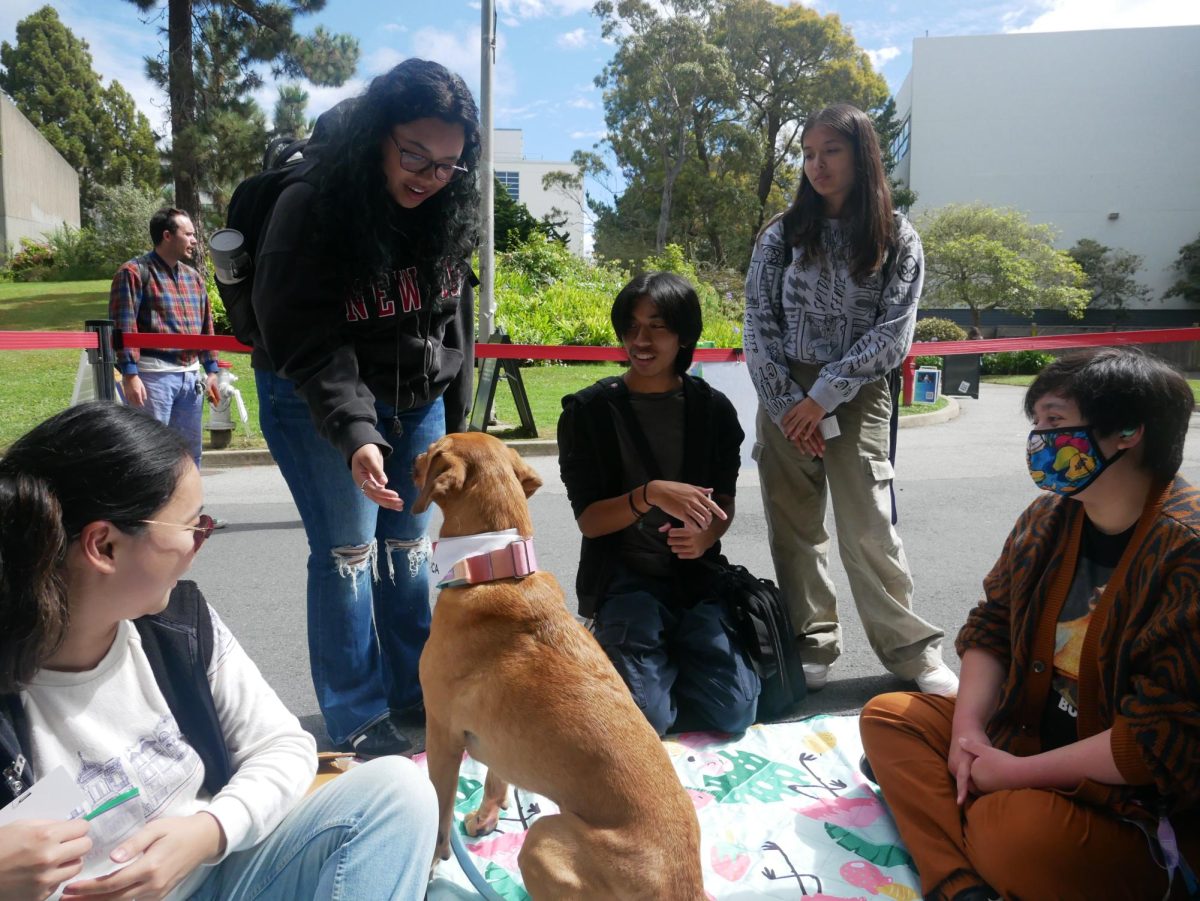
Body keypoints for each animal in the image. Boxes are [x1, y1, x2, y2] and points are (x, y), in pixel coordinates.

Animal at [415, 434, 705, 897]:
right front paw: (487, 815)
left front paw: (429, 866)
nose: (408, 455)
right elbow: (496, 777)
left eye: (431, 449)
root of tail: (684, 884)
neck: (496, 569)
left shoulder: (441, 731)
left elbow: (438, 815)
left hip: (541, 841)